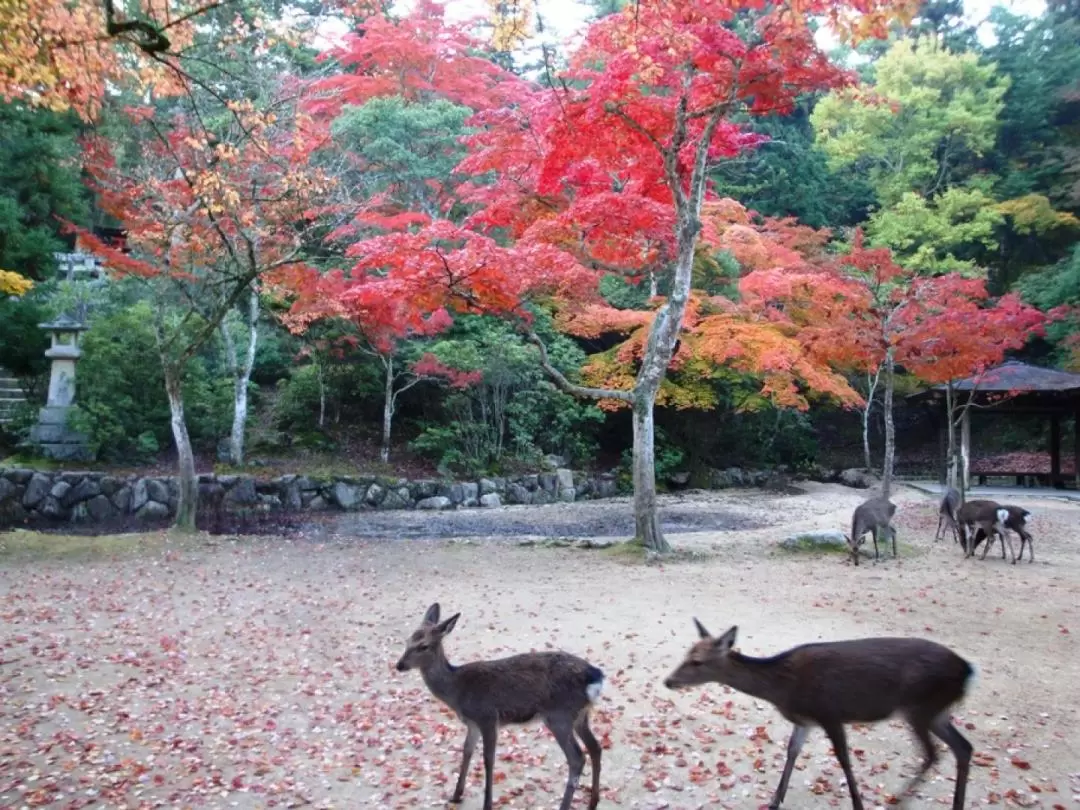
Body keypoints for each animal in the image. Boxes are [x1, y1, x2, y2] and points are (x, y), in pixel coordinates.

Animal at [395, 604, 604, 810]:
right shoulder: (472, 723)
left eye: (423, 646)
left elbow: (488, 759)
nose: (399, 665)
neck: (457, 691)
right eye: (407, 640)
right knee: (595, 747)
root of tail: (596, 677)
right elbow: (467, 751)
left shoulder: (487, 717)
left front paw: (487, 804)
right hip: (580, 715)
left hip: (559, 715)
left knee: (577, 758)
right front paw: (455, 795)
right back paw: (593, 802)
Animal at [660, 622, 976, 810]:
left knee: (934, 753)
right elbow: (792, 751)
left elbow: (844, 759)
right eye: (686, 653)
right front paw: (774, 801)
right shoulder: (805, 721)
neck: (783, 688)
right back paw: (955, 804)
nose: (668, 681)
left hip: (919, 708)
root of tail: (968, 670)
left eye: (697, 661)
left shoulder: (829, 713)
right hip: (936, 711)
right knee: (963, 747)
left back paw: (896, 800)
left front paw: (858, 805)